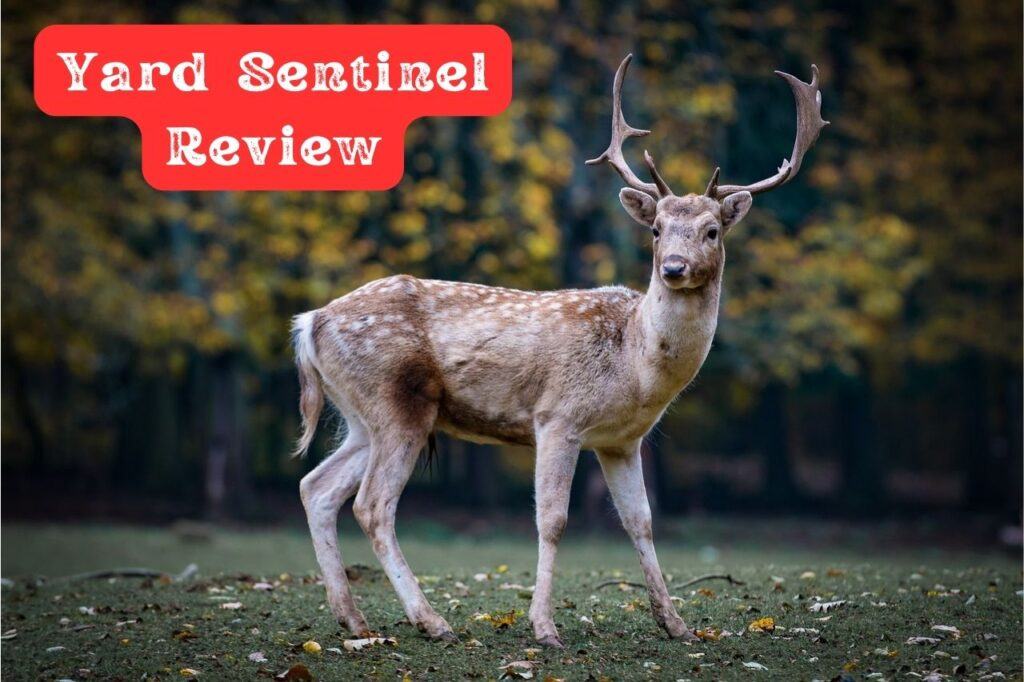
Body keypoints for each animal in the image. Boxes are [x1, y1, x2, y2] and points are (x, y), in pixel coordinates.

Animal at [293, 53, 827, 646]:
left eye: (712, 231)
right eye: (657, 229)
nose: (673, 267)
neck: (635, 366)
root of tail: (310, 322)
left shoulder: (621, 441)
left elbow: (641, 521)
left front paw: (677, 624)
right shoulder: (557, 417)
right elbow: (553, 520)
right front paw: (544, 627)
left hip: (360, 415)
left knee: (316, 487)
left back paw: (352, 618)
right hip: (396, 401)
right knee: (372, 505)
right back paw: (431, 621)